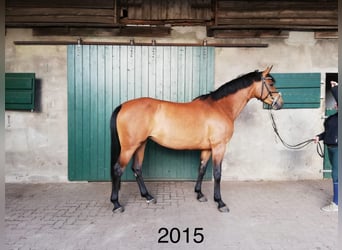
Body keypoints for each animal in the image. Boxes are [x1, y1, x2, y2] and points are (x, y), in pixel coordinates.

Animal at [110, 66, 284, 213]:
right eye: (270, 83)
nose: (280, 104)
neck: (221, 107)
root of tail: (123, 106)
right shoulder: (219, 147)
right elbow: (217, 173)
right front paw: (220, 202)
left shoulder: (207, 148)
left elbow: (201, 168)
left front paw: (199, 194)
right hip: (129, 147)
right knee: (118, 169)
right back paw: (116, 204)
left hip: (141, 144)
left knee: (137, 168)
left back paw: (148, 196)